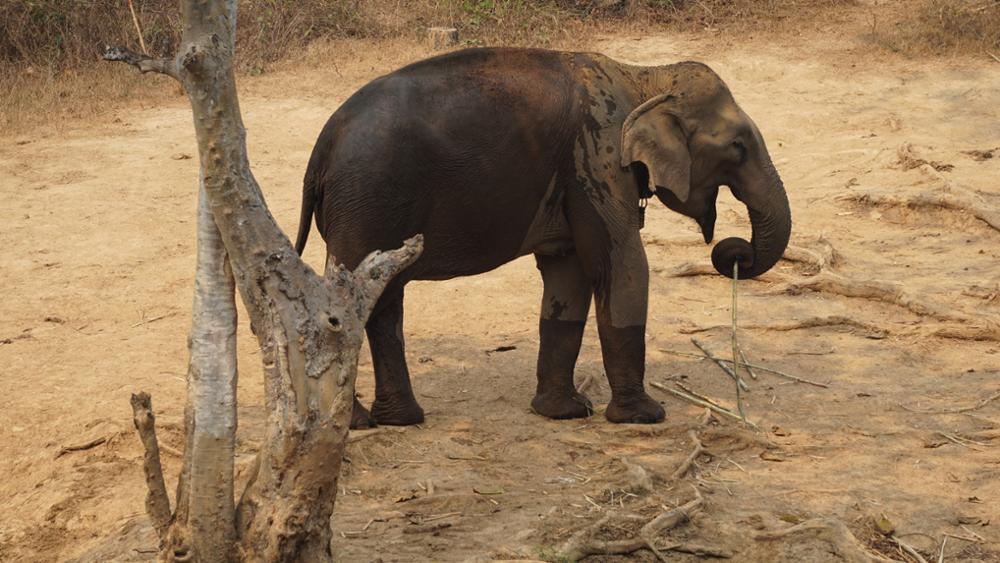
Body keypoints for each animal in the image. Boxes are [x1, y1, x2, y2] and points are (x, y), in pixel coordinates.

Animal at [292, 47, 792, 428]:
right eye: (738, 147)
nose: (734, 253)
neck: (643, 75)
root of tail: (321, 145)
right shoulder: (596, 156)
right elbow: (621, 264)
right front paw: (644, 417)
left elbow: (567, 277)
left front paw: (563, 413)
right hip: (366, 199)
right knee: (352, 304)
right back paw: (357, 423)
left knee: (383, 300)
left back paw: (397, 420)